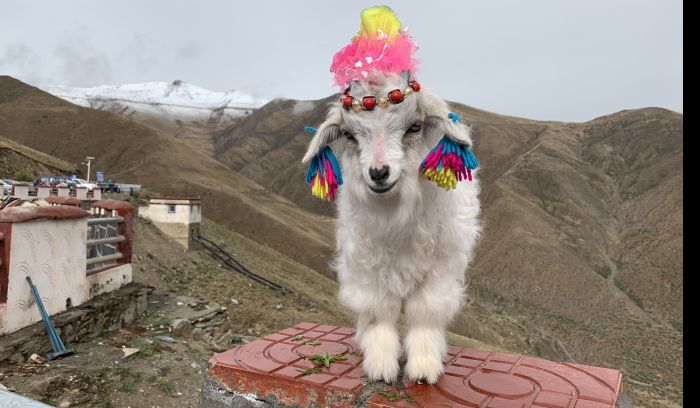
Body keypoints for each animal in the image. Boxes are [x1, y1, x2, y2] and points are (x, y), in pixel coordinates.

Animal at [300, 71, 482, 384]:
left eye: (415, 126)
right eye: (349, 135)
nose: (378, 173)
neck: (397, 216)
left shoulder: (440, 267)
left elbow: (424, 311)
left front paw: (424, 367)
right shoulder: (367, 265)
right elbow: (378, 312)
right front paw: (380, 364)